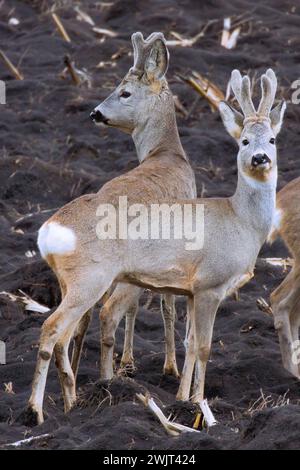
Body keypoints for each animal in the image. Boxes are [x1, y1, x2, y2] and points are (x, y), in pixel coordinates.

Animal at [27, 31, 197, 424]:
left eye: (125, 93)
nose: (95, 112)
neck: (169, 155)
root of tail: (50, 232)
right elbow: (166, 307)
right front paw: (169, 368)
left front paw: (128, 365)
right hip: (91, 277)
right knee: (56, 328)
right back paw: (36, 410)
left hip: (73, 280)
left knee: (72, 330)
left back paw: (73, 399)